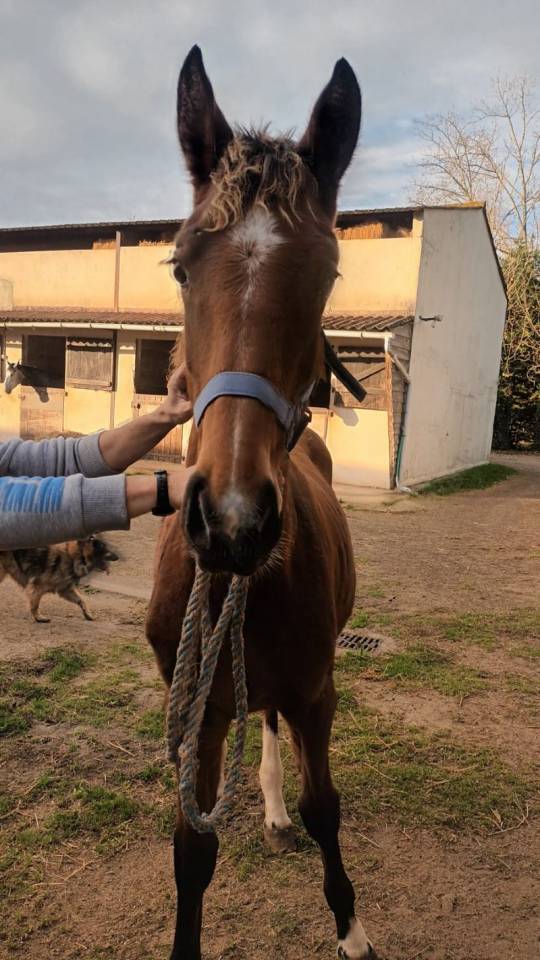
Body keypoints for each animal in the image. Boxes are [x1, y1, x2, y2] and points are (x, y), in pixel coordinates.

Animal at [146, 46, 377, 960]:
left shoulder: (318, 690)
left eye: (328, 273)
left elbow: (327, 808)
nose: (235, 521)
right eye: (181, 266)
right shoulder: (199, 712)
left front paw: (351, 928)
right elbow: (190, 849)